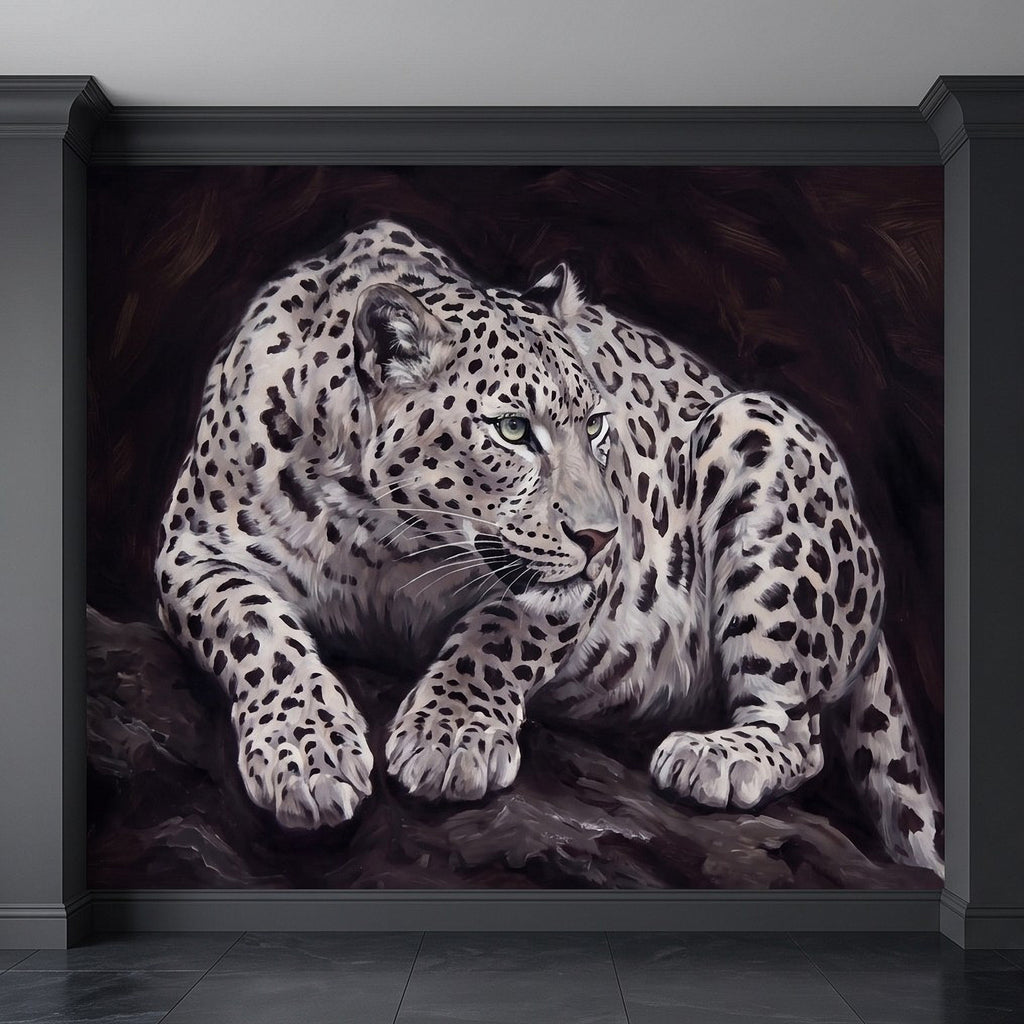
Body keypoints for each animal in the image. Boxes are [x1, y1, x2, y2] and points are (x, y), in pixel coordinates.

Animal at [154, 219, 943, 875]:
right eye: (512, 430)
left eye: (596, 425)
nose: (602, 535)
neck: (380, 540)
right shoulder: (188, 551)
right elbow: (255, 627)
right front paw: (307, 755)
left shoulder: (579, 582)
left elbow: (501, 631)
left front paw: (450, 736)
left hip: (758, 431)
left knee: (798, 734)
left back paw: (711, 755)